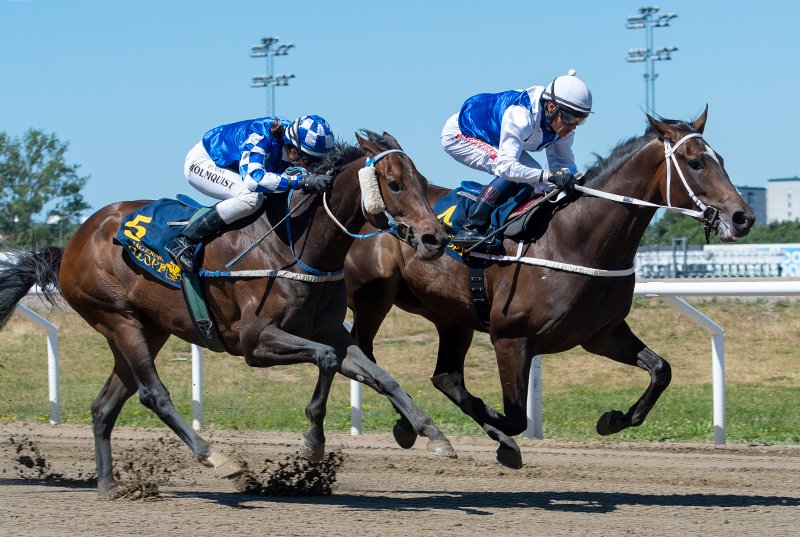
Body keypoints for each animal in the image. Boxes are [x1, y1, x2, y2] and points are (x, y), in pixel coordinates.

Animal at [0, 129, 456, 494]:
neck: (297, 246)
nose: (435, 238)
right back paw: (216, 459)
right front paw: (313, 442)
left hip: (149, 328)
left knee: (104, 406)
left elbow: (381, 376)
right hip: (118, 318)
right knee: (153, 394)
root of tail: (71, 245)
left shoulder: (331, 332)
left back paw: (110, 485)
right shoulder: (256, 342)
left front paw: (431, 433)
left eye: (421, 181)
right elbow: (325, 361)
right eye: (394, 183)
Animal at [346, 111, 756, 466]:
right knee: (365, 356)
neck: (573, 237)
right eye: (695, 162)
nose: (743, 217)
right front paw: (498, 433)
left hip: (450, 316)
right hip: (374, 299)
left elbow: (661, 370)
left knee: (444, 376)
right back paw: (413, 423)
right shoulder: (510, 338)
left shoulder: (601, 333)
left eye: (719, 158)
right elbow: (515, 418)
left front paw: (613, 419)